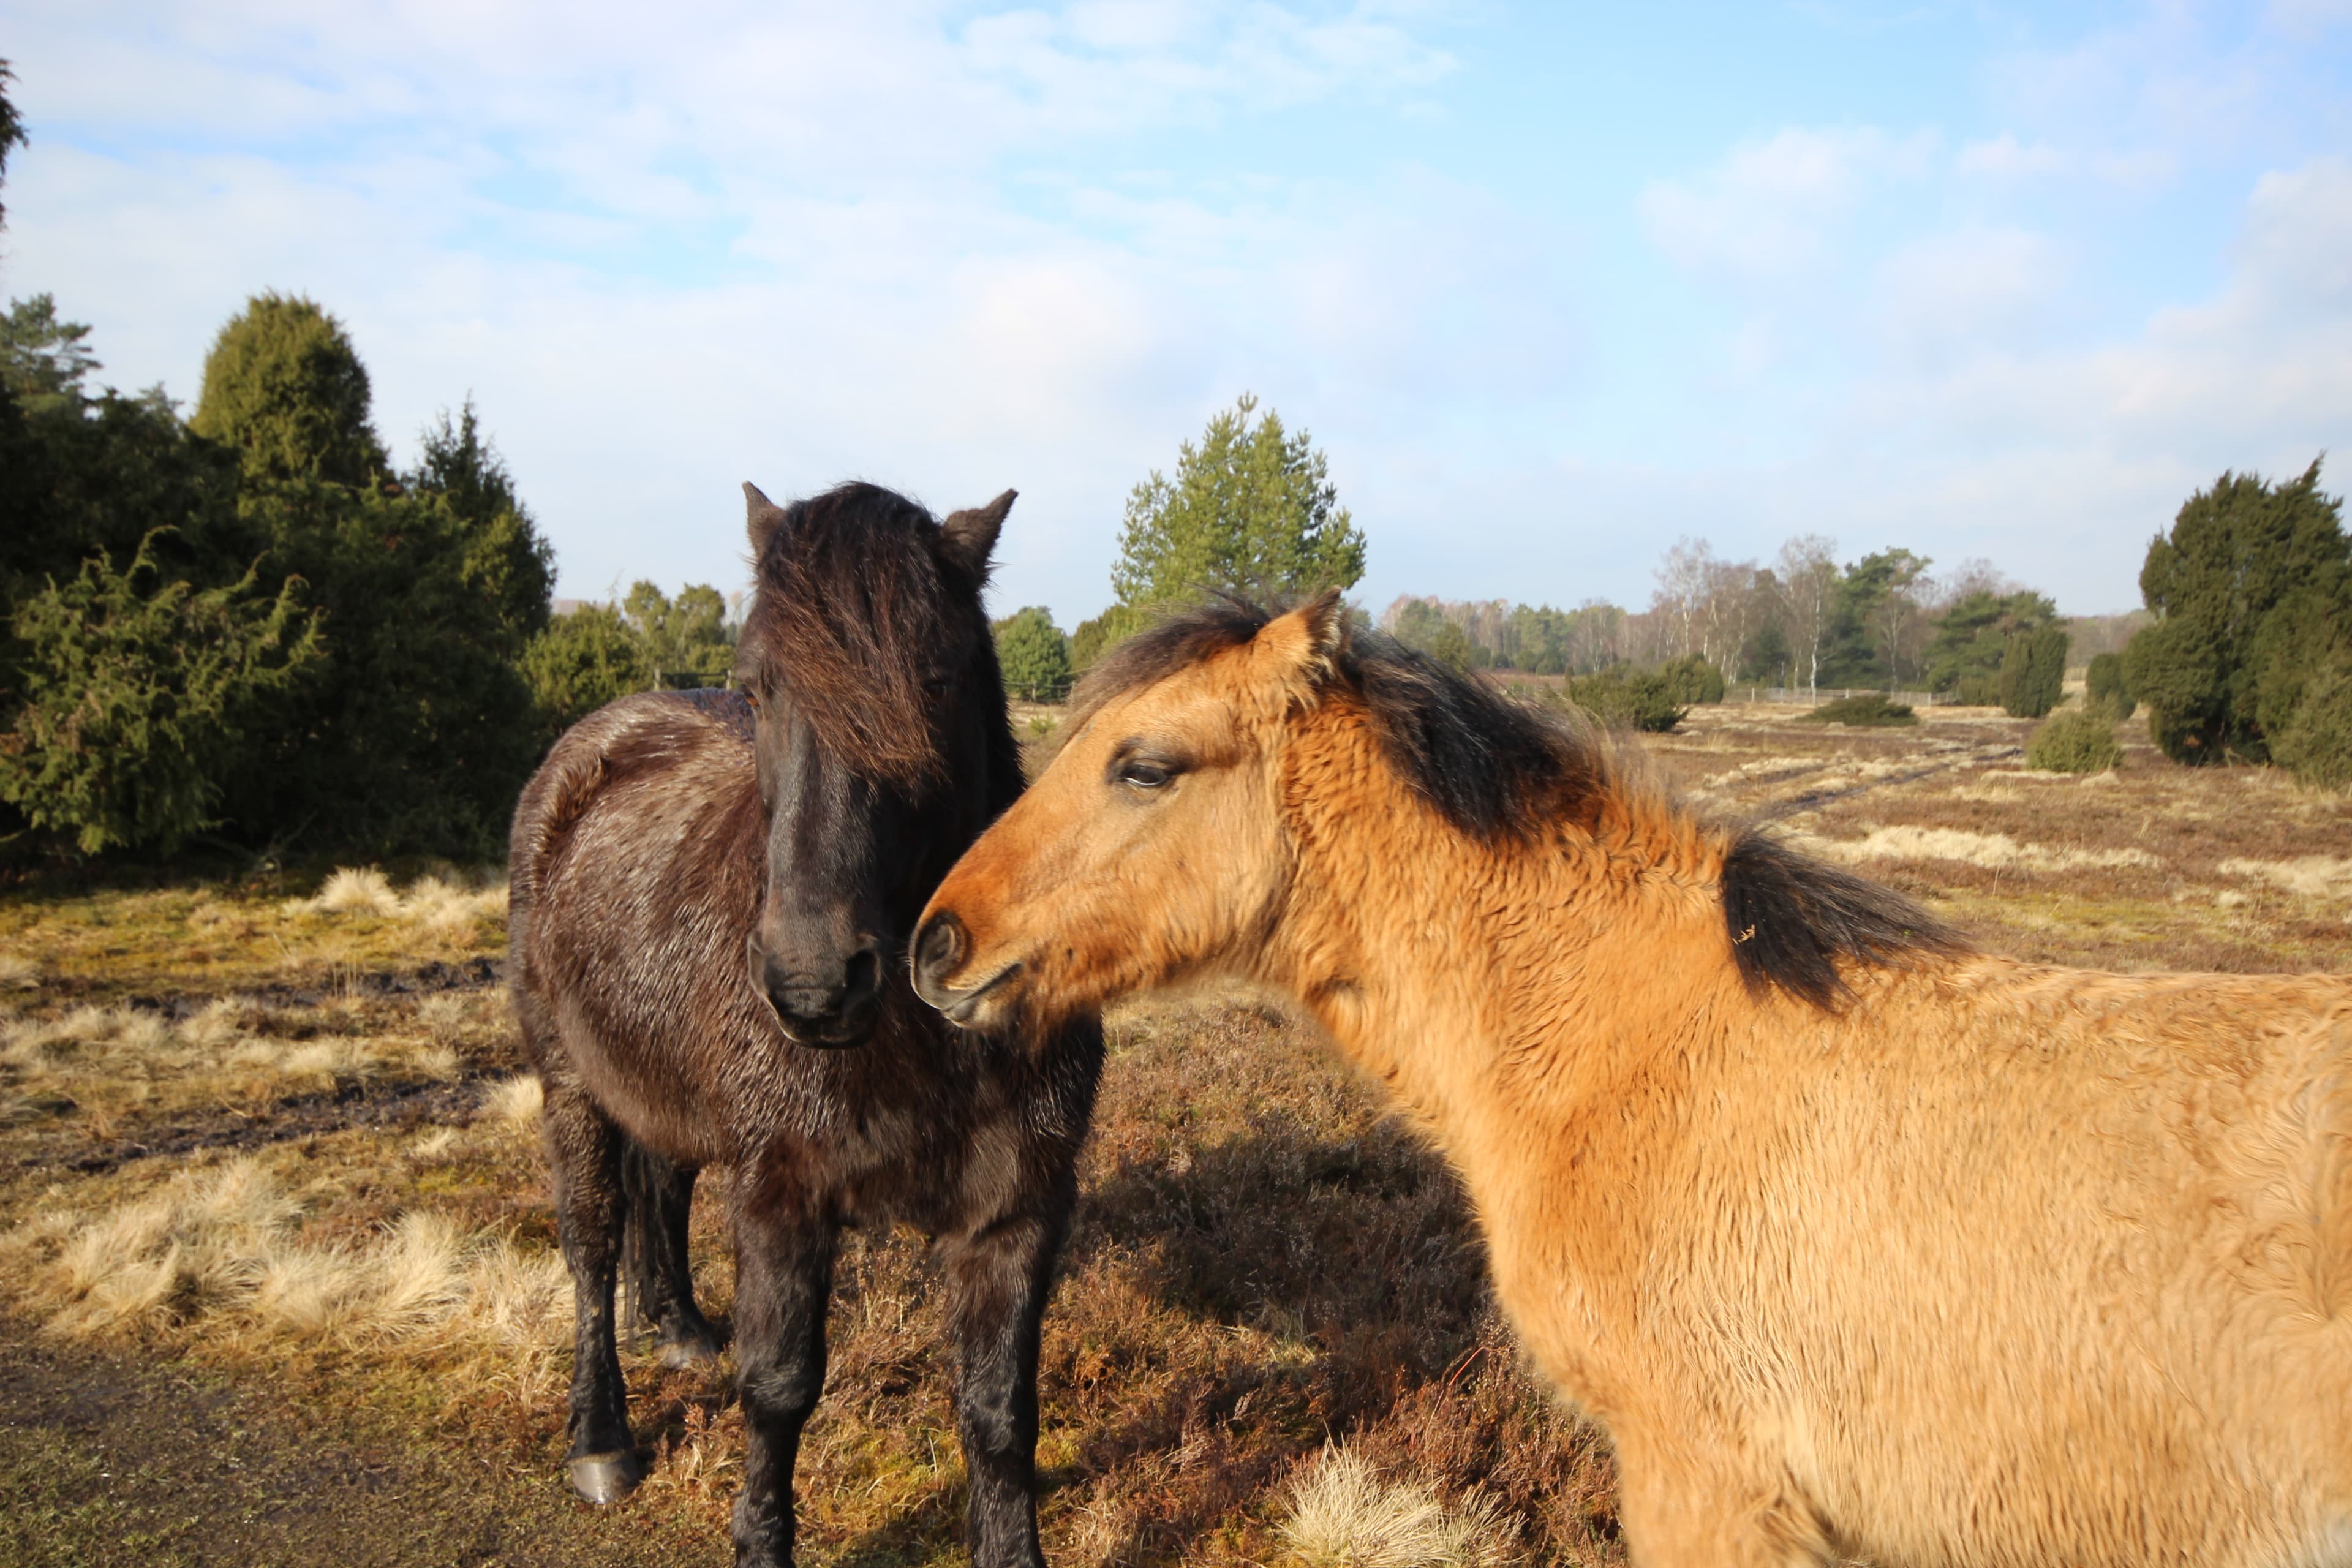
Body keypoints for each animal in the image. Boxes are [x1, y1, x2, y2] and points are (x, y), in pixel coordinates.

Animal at [510, 484, 1096, 1568]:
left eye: (936, 677)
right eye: (760, 686)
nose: (815, 981)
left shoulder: (1018, 1209)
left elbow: (1000, 1411)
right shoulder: (781, 1194)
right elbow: (779, 1392)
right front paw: (759, 1538)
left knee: (661, 1181)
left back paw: (679, 1328)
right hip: (567, 1081)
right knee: (591, 1244)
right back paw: (601, 1438)